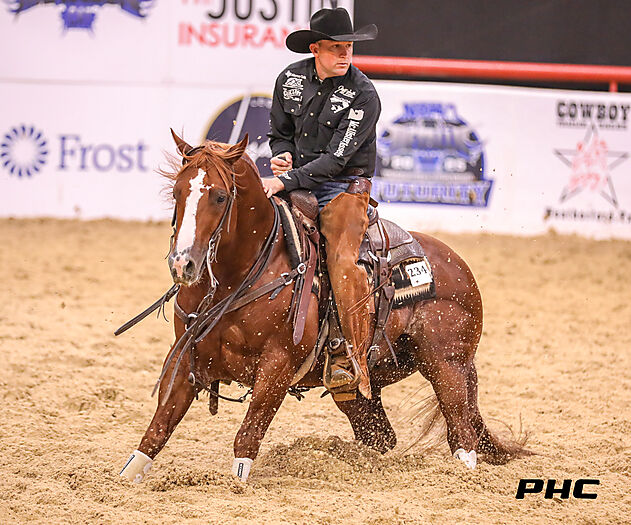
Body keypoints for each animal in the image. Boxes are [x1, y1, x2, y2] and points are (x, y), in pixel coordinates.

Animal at [118, 131, 529, 484]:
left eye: (219, 196)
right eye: (177, 191)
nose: (182, 264)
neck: (239, 277)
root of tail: (457, 266)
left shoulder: (278, 365)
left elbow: (247, 436)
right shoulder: (184, 357)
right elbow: (157, 429)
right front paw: (125, 478)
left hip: (448, 366)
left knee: (462, 435)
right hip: (363, 387)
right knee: (382, 437)